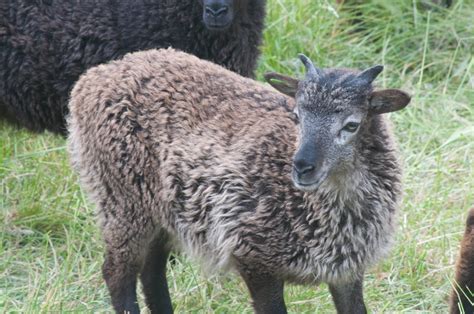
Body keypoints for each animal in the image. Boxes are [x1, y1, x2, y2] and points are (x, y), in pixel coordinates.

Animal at [67, 47, 412, 312]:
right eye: (297, 116)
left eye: (351, 125)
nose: (302, 168)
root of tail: (93, 78)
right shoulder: (254, 258)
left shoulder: (347, 272)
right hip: (122, 199)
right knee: (118, 272)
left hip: (161, 211)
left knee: (151, 270)